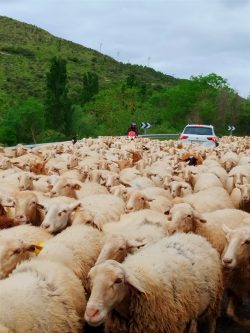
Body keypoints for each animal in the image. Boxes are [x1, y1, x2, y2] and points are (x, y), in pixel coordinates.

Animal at [84, 232, 223, 332]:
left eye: (118, 280)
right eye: (91, 279)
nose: (91, 314)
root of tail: (193, 235)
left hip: (214, 302)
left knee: (212, 321)